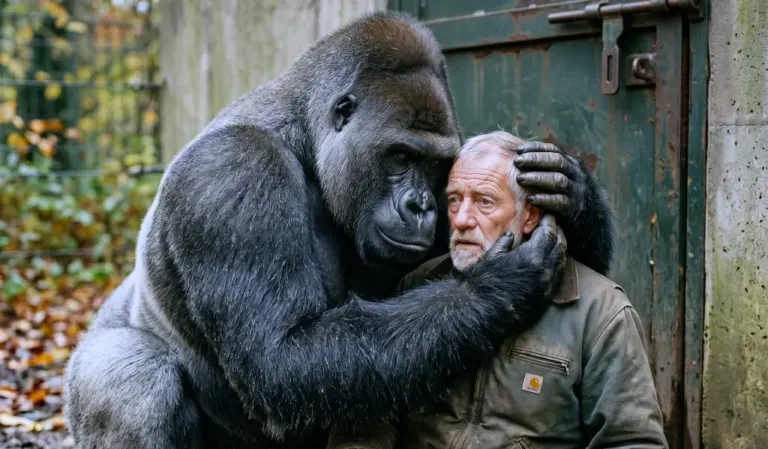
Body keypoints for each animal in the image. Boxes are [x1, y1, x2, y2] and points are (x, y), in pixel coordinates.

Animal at [63, 11, 614, 449]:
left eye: (437, 167)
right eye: (400, 157)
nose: (422, 206)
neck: (306, 141)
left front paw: (570, 190)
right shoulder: (232, 172)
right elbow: (280, 357)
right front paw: (495, 286)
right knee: (134, 378)